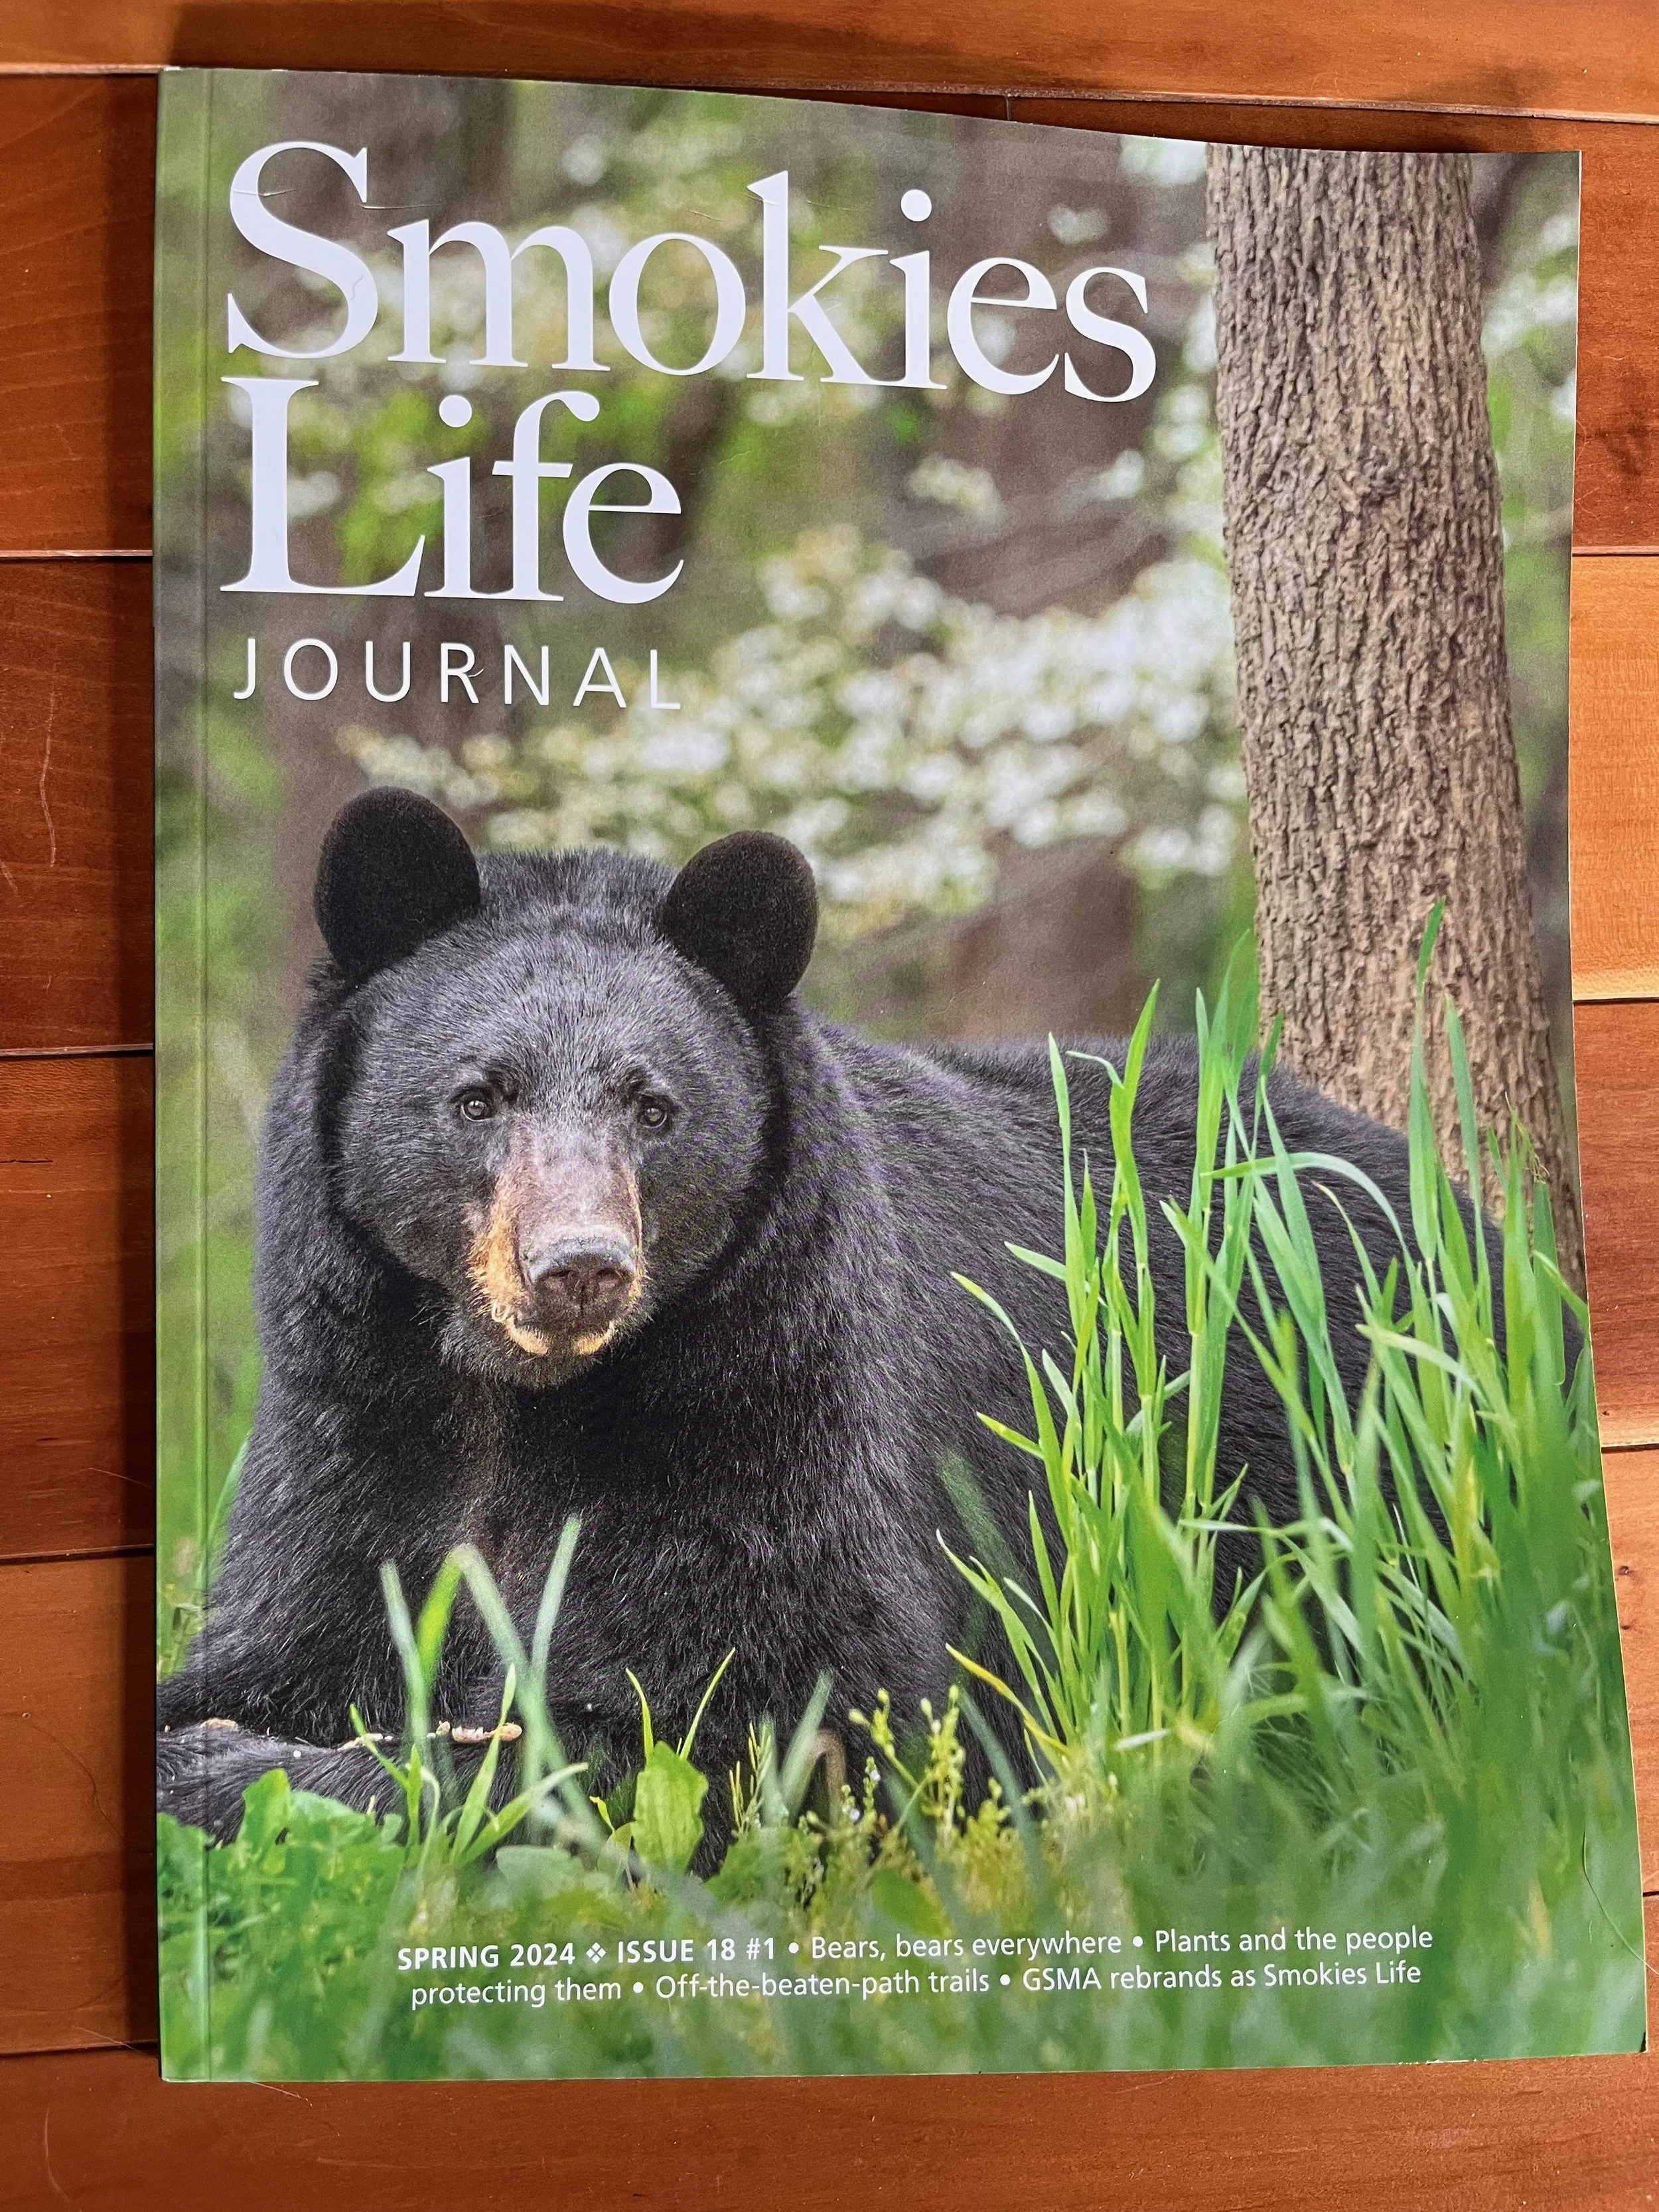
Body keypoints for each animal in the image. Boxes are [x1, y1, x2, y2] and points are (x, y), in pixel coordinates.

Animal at [156, 785, 1464, 1847]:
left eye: (655, 1106)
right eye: (478, 1096)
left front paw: (264, 1769)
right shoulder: (359, 1422)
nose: (578, 1268)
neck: (518, 1396)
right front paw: (207, 1732)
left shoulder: (767, 1403)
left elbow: (754, 1707)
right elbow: (291, 1620)